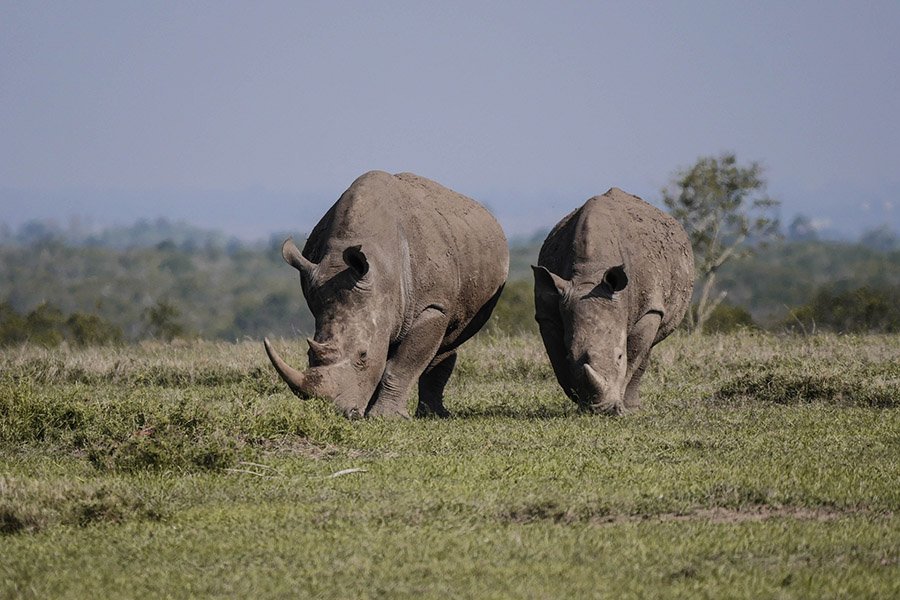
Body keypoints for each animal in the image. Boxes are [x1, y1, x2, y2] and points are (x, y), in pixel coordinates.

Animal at [264, 171, 510, 420]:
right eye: (308, 354)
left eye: (363, 355)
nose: (344, 413)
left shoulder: (432, 307)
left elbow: (402, 364)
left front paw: (385, 417)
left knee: (449, 340)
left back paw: (433, 415)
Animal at [532, 188, 692, 412]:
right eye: (570, 355)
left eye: (619, 356)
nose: (602, 410)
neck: (590, 275)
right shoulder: (549, 313)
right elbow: (558, 361)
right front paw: (578, 400)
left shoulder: (649, 307)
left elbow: (633, 356)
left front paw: (620, 406)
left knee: (648, 347)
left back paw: (633, 407)